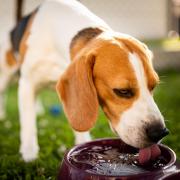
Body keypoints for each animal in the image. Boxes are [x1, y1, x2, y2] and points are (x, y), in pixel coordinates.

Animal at [0, 0, 169, 162]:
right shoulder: (27, 84)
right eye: (122, 91)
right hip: (6, 74)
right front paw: (29, 155)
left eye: (153, 86)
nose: (160, 132)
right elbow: (28, 124)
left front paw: (82, 143)